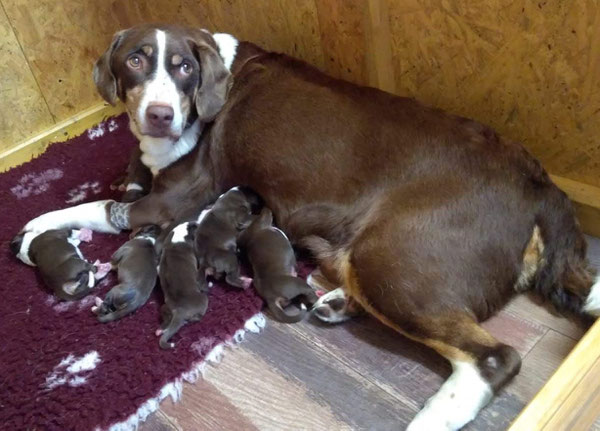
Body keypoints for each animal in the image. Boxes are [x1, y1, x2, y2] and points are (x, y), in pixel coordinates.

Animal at [158, 223, 210, 352]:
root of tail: (180, 310)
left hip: (166, 307)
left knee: (165, 313)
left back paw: (162, 328)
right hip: (203, 298)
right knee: (197, 317)